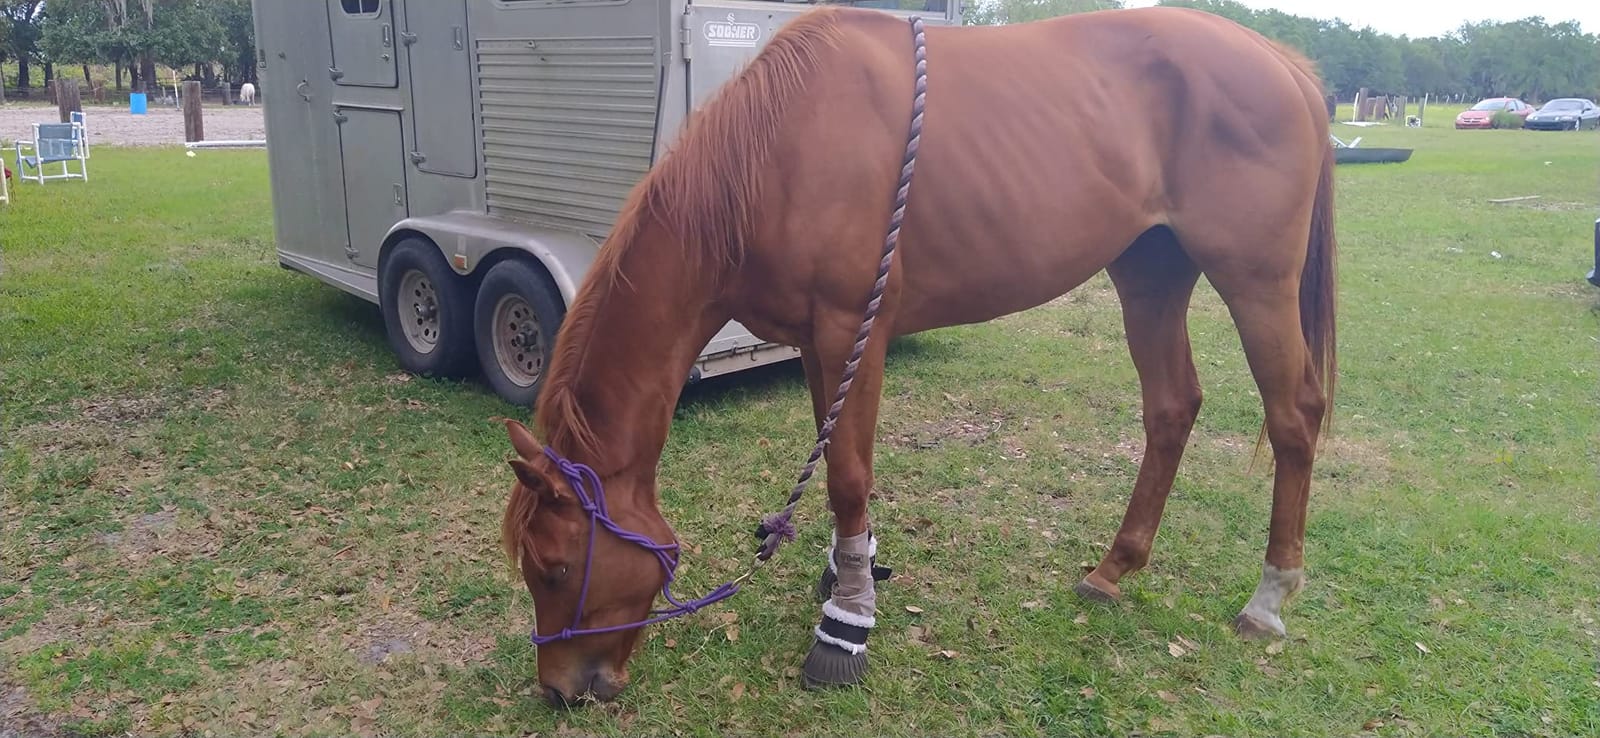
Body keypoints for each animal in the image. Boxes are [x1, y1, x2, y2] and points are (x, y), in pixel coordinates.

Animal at [499, 3, 1337, 706]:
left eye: (554, 567)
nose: (561, 689)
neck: (778, 154)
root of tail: (1279, 60)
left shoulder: (850, 329)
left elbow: (848, 477)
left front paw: (846, 621)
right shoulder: (816, 341)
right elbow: (838, 466)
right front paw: (848, 568)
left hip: (1255, 281)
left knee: (1294, 415)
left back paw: (1269, 598)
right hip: (1151, 271)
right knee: (1172, 406)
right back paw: (1114, 568)